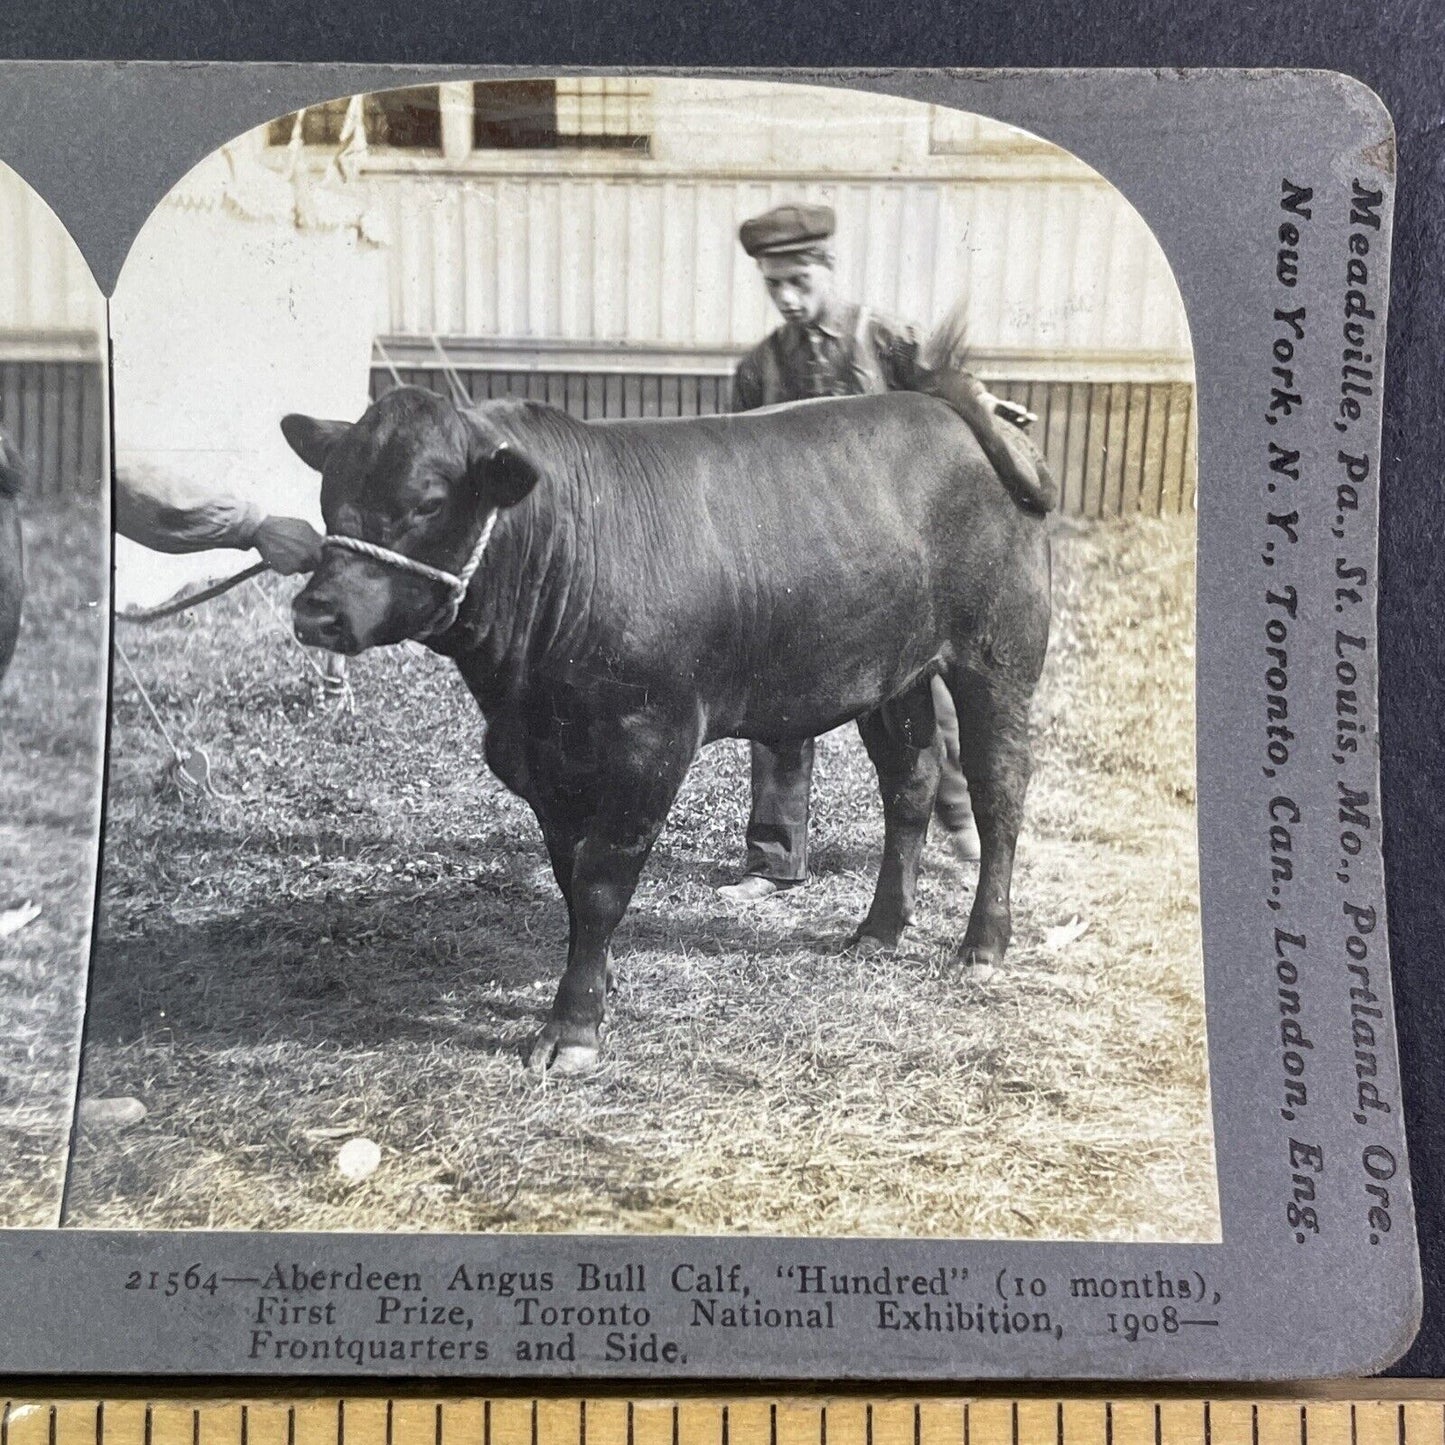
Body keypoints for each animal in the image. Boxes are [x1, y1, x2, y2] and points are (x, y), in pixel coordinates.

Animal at [284, 381, 1051, 1075]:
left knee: (998, 793)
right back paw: (880, 928)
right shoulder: (545, 765)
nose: (316, 613)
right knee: (910, 785)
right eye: (327, 495)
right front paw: (601, 979)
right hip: (891, 676)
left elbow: (601, 882)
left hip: (997, 658)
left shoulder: (647, 745)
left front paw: (573, 1028)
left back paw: (983, 944)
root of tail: (943, 403)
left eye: (429, 502)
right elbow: (569, 876)